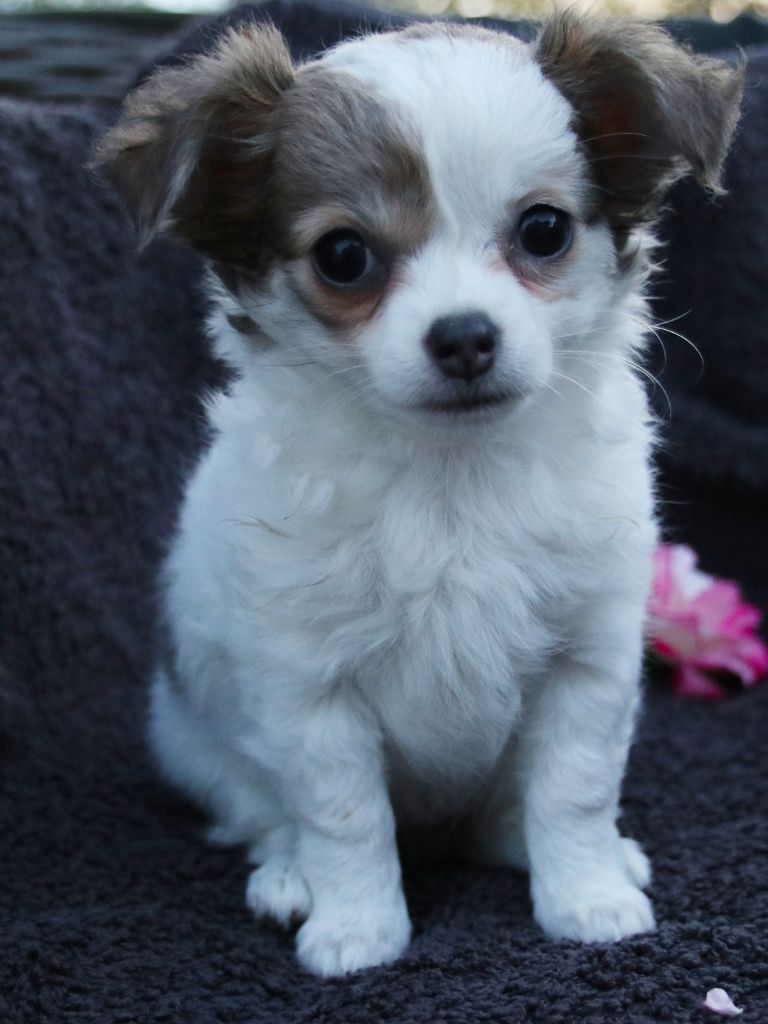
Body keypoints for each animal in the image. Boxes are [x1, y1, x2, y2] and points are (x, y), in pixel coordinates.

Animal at [94, 12, 742, 976]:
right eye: (344, 255)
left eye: (543, 230)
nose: (465, 335)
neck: (451, 483)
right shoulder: (309, 688)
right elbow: (343, 815)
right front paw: (358, 929)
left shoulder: (586, 661)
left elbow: (575, 789)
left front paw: (586, 898)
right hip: (195, 738)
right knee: (263, 811)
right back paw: (289, 876)